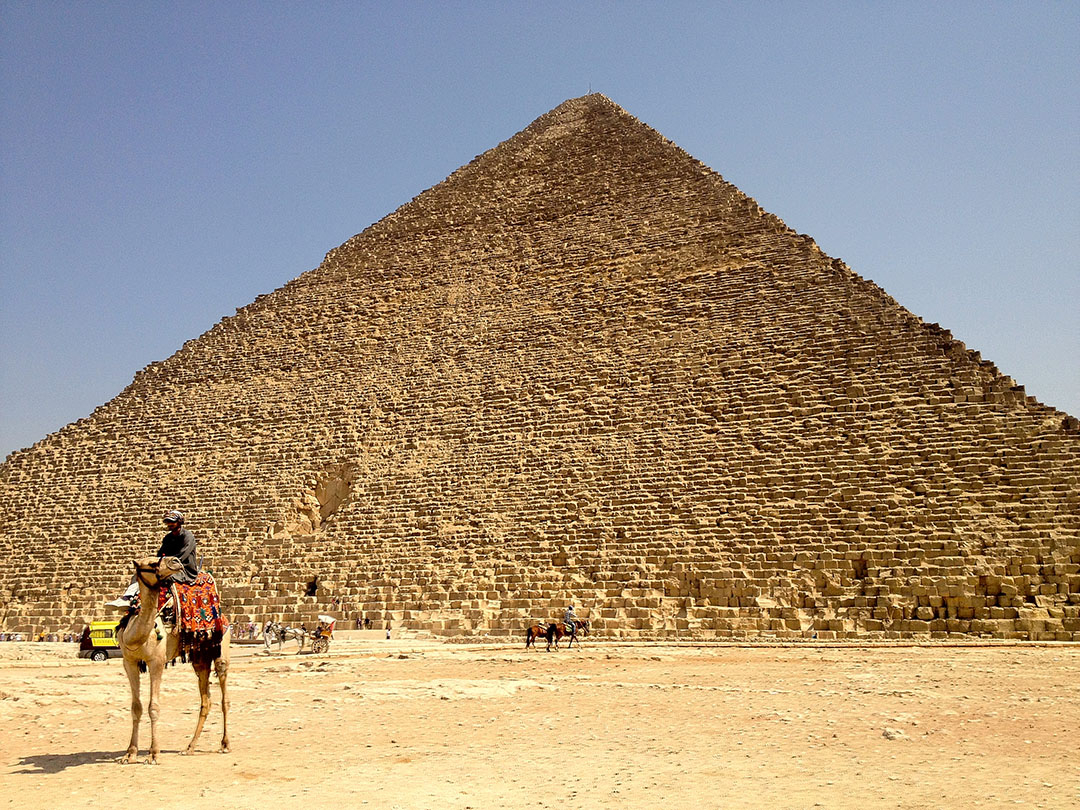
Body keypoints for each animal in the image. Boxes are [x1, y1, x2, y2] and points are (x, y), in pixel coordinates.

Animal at [116, 557, 230, 768]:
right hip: (200, 658)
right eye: (152, 563)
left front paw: (153, 754)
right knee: (206, 700)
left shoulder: (157, 662)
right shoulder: (129, 662)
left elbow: (153, 707)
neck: (135, 635)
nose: (176, 562)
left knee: (224, 697)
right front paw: (130, 753)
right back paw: (190, 747)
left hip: (221, 652)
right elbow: (136, 707)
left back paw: (225, 744)